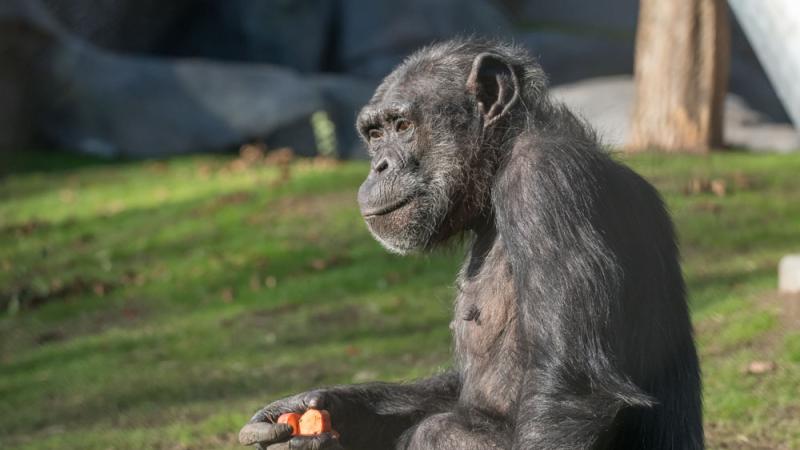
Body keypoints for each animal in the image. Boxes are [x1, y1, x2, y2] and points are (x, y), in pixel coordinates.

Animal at [241, 38, 704, 450]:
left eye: (403, 126)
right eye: (373, 134)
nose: (379, 165)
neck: (500, 161)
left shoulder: (546, 185)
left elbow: (571, 389)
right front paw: (323, 410)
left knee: (439, 430)